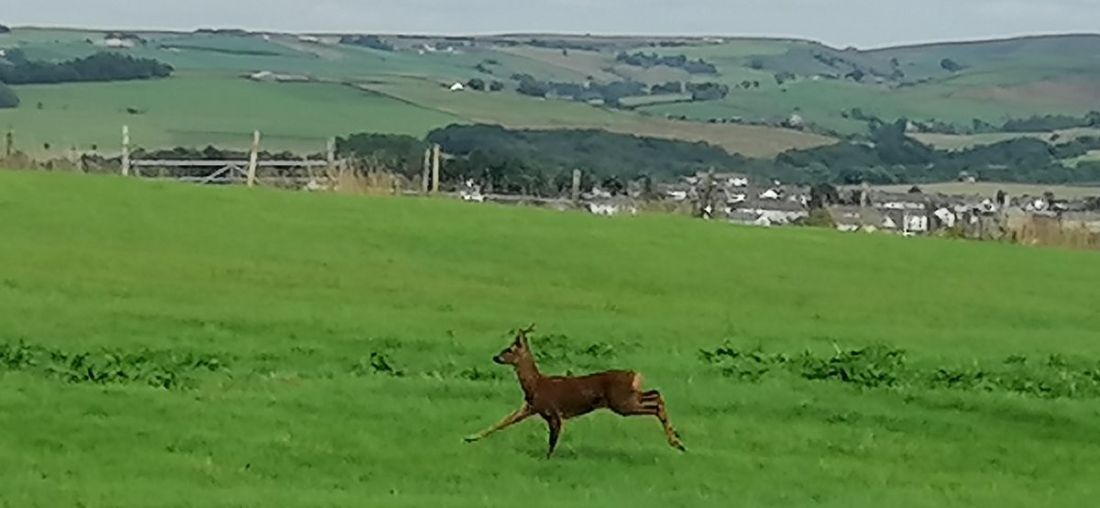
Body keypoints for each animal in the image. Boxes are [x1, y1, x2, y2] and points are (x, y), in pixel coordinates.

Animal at [464, 324, 686, 458]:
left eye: (509, 349)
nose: (495, 357)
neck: (536, 384)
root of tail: (634, 375)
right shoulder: (530, 407)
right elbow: (503, 421)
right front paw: (470, 437)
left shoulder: (553, 412)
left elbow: (552, 441)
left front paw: (547, 459)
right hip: (627, 398)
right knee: (656, 394)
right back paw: (677, 440)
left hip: (622, 402)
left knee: (655, 400)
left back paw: (677, 442)